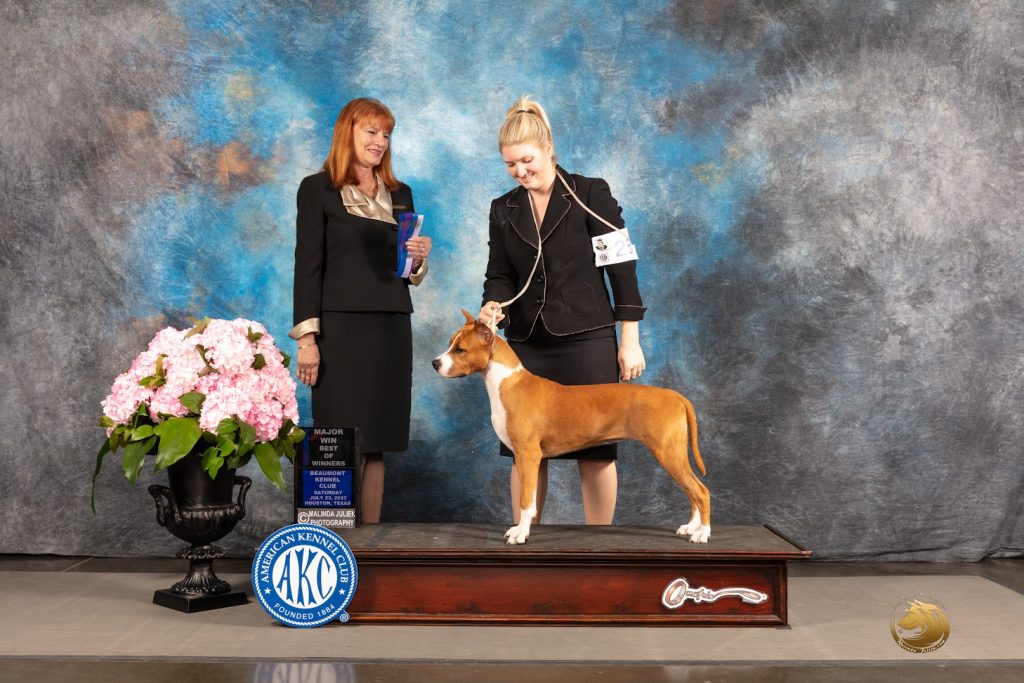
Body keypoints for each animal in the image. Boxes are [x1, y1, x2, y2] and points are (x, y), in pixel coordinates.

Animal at [433, 310, 710, 545]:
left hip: (668, 453)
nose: (435, 363)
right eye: (450, 343)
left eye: (460, 349)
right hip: (675, 454)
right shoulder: (524, 459)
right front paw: (521, 530)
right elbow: (529, 499)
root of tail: (676, 397)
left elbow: (525, 500)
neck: (505, 381)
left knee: (701, 491)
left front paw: (521, 534)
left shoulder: (528, 455)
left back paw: (702, 534)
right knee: (692, 491)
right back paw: (690, 527)